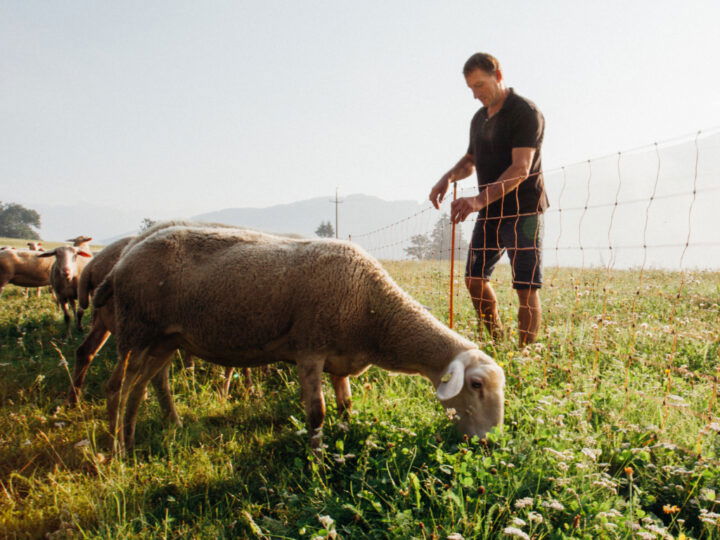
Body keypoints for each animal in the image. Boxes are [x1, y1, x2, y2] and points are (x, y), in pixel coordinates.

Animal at [95, 226, 506, 454]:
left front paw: (341, 443)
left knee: (138, 388)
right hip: (134, 330)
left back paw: (130, 441)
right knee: (117, 387)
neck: (373, 310)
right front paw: (318, 464)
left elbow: (345, 406)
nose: (488, 442)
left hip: (165, 340)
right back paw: (115, 451)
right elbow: (316, 413)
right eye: (475, 384)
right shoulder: (311, 350)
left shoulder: (340, 361)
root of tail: (123, 259)